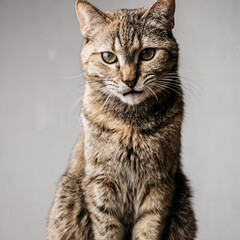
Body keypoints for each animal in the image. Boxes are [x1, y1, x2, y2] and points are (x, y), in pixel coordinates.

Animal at [47, 0, 197, 239]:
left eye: (147, 54)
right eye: (108, 57)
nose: (130, 80)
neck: (130, 123)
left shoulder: (159, 182)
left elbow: (148, 228)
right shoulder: (101, 182)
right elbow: (106, 227)